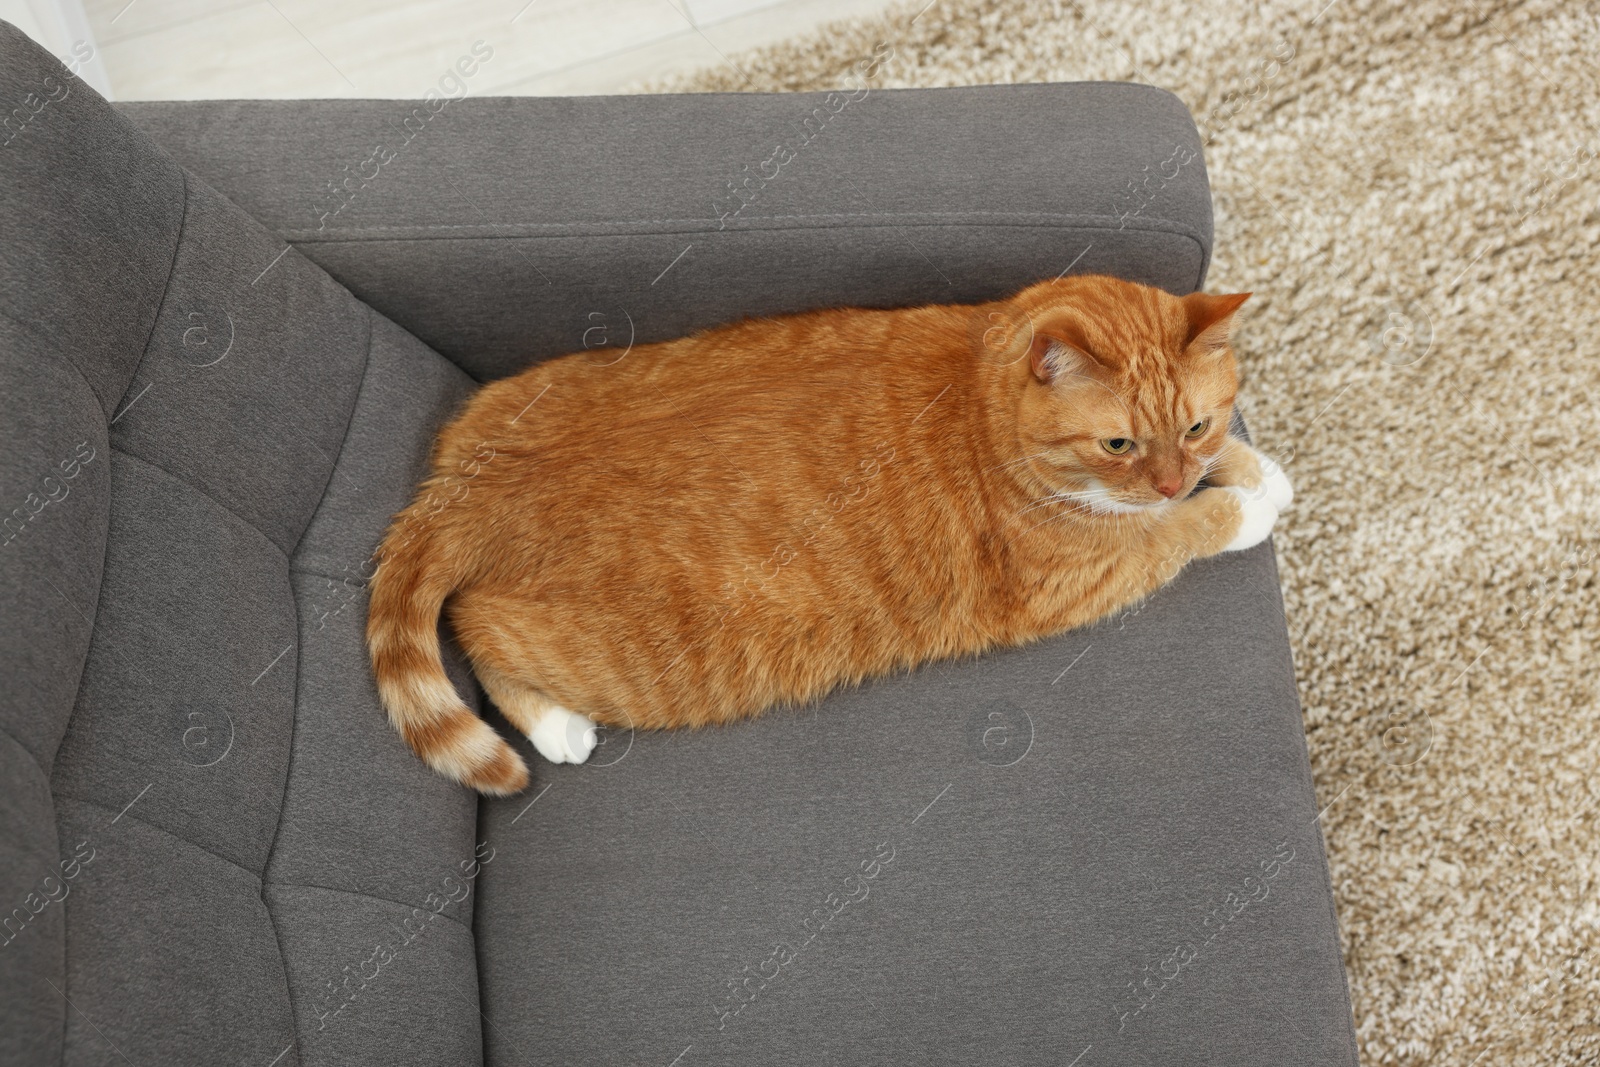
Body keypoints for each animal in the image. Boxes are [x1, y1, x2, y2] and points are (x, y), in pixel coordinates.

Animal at [363, 275, 1286, 793]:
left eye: (1195, 425)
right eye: (1118, 445)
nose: (1167, 478)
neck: (980, 401)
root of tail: (467, 492)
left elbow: (1219, 472)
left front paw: (1255, 470)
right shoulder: (1080, 575)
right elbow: (1176, 531)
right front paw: (1243, 506)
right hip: (602, 655)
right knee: (474, 626)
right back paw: (557, 725)